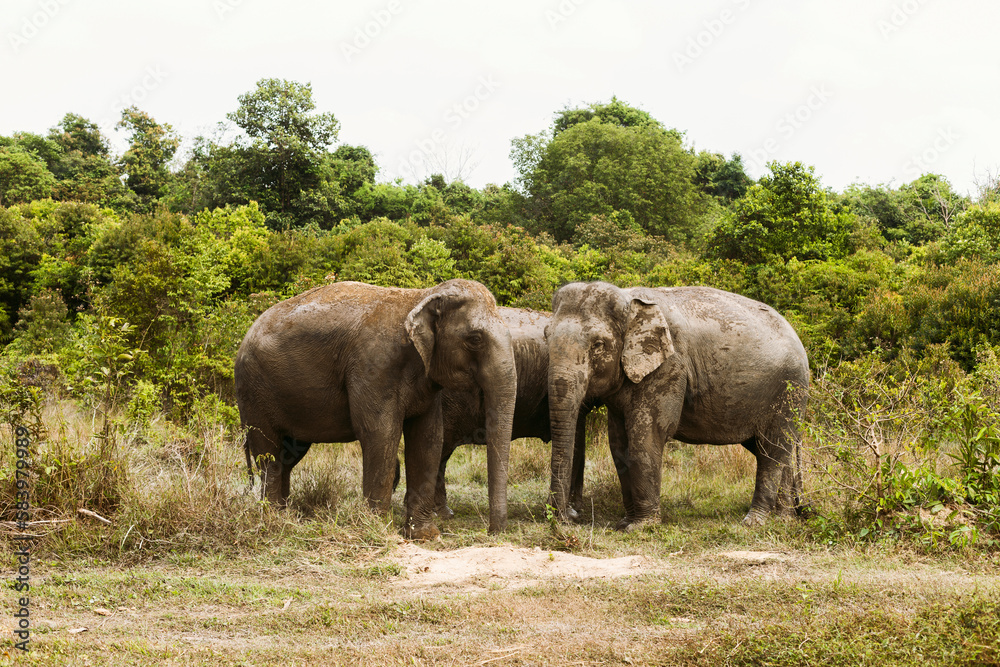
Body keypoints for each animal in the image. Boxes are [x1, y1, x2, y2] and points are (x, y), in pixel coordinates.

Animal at [234, 280, 516, 540]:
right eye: (475, 339)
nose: (492, 532)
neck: (421, 296)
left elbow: (429, 437)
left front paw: (425, 535)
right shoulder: (374, 367)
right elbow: (381, 433)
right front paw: (379, 531)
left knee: (289, 455)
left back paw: (285, 516)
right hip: (254, 391)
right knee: (269, 453)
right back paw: (274, 520)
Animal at [544, 284, 808, 532]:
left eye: (598, 344)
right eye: (546, 336)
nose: (568, 518)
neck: (628, 299)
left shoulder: (670, 366)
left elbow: (647, 437)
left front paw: (640, 527)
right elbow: (618, 445)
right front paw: (624, 523)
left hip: (789, 392)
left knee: (773, 450)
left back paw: (754, 521)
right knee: (771, 450)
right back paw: (784, 519)